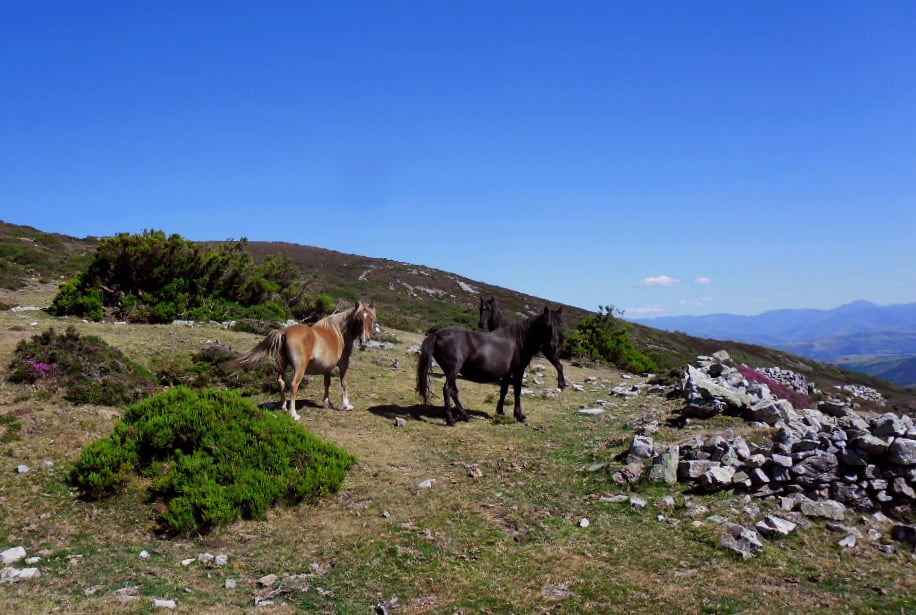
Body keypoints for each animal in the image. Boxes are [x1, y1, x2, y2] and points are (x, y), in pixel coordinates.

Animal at [231, 302, 378, 422]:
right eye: (358, 319)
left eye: (370, 318)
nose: (364, 340)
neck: (338, 333)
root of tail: (284, 332)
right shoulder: (343, 364)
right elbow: (344, 383)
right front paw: (347, 405)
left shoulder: (327, 368)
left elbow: (327, 384)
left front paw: (327, 403)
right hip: (299, 368)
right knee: (294, 385)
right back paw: (293, 414)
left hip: (282, 366)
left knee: (281, 382)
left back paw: (283, 406)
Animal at [416, 306, 560, 426]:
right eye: (548, 324)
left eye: (559, 325)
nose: (555, 345)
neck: (518, 341)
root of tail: (438, 334)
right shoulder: (518, 371)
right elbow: (517, 392)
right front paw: (520, 416)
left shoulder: (508, 373)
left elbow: (504, 390)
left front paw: (500, 411)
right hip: (453, 370)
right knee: (447, 390)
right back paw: (451, 420)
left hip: (450, 371)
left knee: (453, 392)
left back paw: (466, 416)